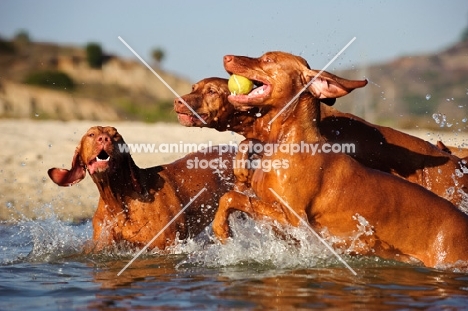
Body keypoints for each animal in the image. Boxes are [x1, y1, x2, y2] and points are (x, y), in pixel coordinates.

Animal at [175, 78, 468, 210]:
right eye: (193, 87)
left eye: (212, 91)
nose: (178, 101)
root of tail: (456, 162)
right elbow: (247, 143)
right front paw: (241, 170)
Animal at [211, 52, 468, 270]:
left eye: (268, 59)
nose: (226, 57)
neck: (287, 142)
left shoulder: (295, 220)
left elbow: (230, 197)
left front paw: (222, 229)